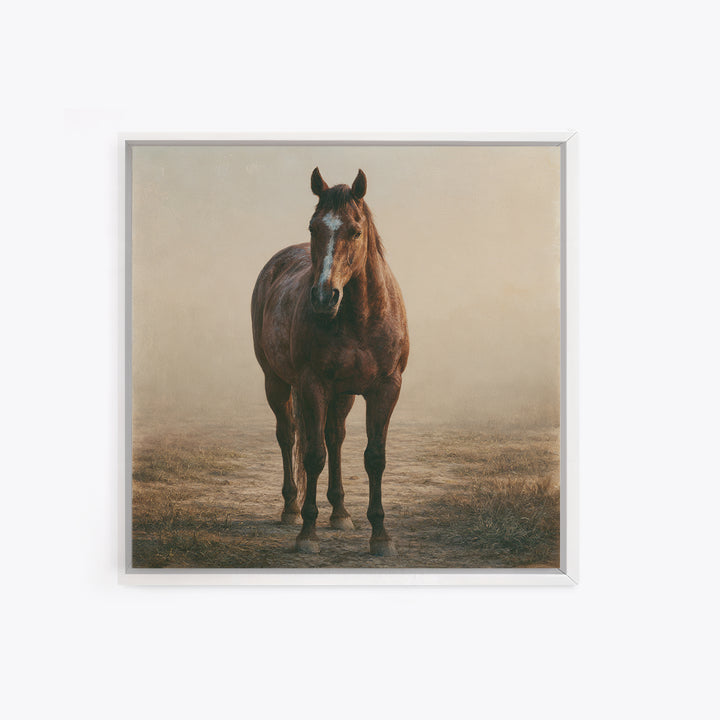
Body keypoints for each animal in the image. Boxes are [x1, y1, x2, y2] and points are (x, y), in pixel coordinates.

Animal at [251, 167, 409, 556]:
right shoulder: (312, 385)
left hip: (343, 394)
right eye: (313, 228)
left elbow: (374, 457)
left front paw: (380, 535)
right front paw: (308, 534)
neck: (360, 318)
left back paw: (339, 512)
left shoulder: (386, 389)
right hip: (276, 382)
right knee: (289, 435)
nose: (324, 297)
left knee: (335, 436)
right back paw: (291, 509)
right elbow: (312, 455)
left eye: (355, 230)